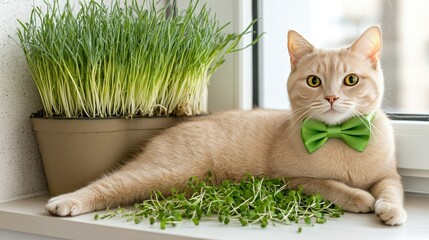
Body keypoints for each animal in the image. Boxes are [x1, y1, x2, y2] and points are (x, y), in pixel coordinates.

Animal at [46, 25, 404, 225]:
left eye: (351, 80)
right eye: (314, 81)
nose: (331, 97)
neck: (339, 136)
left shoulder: (388, 175)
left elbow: (391, 189)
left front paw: (390, 209)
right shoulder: (291, 180)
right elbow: (331, 185)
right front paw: (359, 197)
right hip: (162, 171)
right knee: (107, 184)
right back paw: (64, 202)